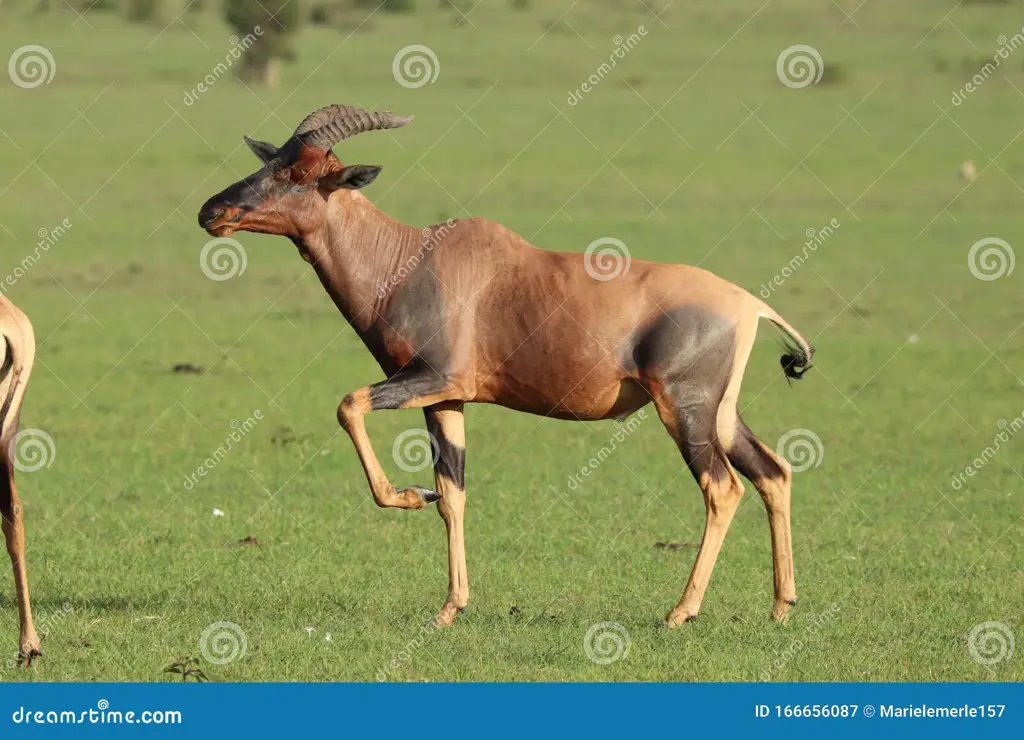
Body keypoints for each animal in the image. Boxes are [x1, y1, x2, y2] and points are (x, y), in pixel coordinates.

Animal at [195, 102, 811, 626]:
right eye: (270, 160)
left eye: (300, 173)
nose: (212, 212)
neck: (408, 258)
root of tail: (748, 303)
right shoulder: (445, 398)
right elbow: (453, 495)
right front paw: (450, 607)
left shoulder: (431, 378)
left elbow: (349, 406)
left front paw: (407, 496)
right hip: (720, 414)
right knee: (773, 472)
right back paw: (781, 606)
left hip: (682, 408)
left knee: (722, 489)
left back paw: (680, 612)